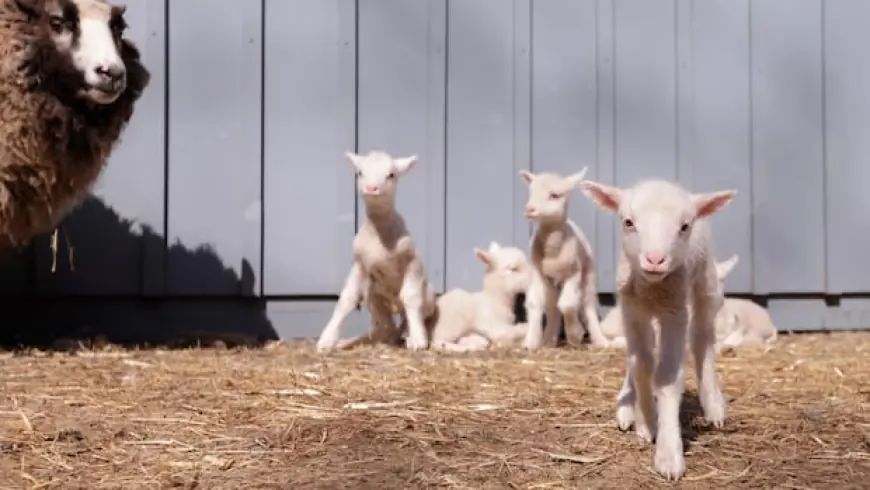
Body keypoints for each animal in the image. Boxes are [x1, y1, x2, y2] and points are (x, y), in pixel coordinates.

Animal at [316, 150, 438, 352]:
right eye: (360, 173)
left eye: (392, 174)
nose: (372, 188)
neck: (379, 235)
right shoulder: (359, 264)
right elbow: (346, 299)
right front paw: (327, 340)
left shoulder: (412, 261)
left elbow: (411, 297)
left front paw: (418, 340)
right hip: (374, 298)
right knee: (386, 325)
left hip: (427, 299)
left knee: (407, 318)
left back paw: (408, 335)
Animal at [518, 167, 608, 349]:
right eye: (531, 192)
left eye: (554, 195)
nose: (530, 210)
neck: (553, 251)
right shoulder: (538, 273)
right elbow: (535, 303)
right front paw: (530, 342)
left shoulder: (574, 272)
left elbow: (567, 304)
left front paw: (575, 335)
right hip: (551, 281)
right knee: (553, 305)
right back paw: (549, 339)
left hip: (589, 274)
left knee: (588, 305)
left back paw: (600, 340)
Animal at [579, 178, 736, 481]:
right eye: (628, 222)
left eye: (684, 226)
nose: (654, 260)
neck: (652, 288)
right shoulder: (632, 311)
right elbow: (641, 364)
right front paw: (646, 422)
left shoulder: (675, 314)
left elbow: (666, 377)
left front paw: (668, 455)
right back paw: (627, 405)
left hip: (705, 282)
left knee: (702, 337)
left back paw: (713, 407)